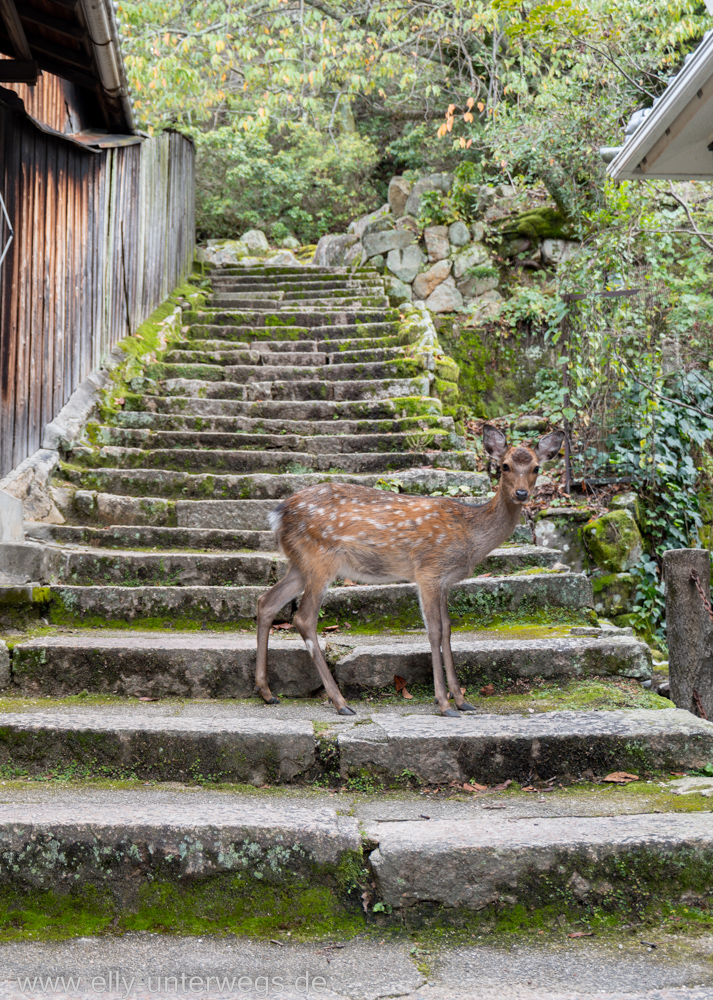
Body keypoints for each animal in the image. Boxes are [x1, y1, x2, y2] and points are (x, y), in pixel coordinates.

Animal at [254, 426, 560, 716]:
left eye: (536, 467)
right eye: (504, 466)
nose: (521, 493)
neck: (470, 534)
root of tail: (277, 515)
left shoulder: (445, 580)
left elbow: (448, 630)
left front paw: (463, 701)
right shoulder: (428, 571)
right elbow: (434, 631)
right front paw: (444, 704)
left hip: (300, 563)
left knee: (266, 601)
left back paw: (267, 693)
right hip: (320, 559)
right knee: (303, 618)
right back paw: (340, 702)